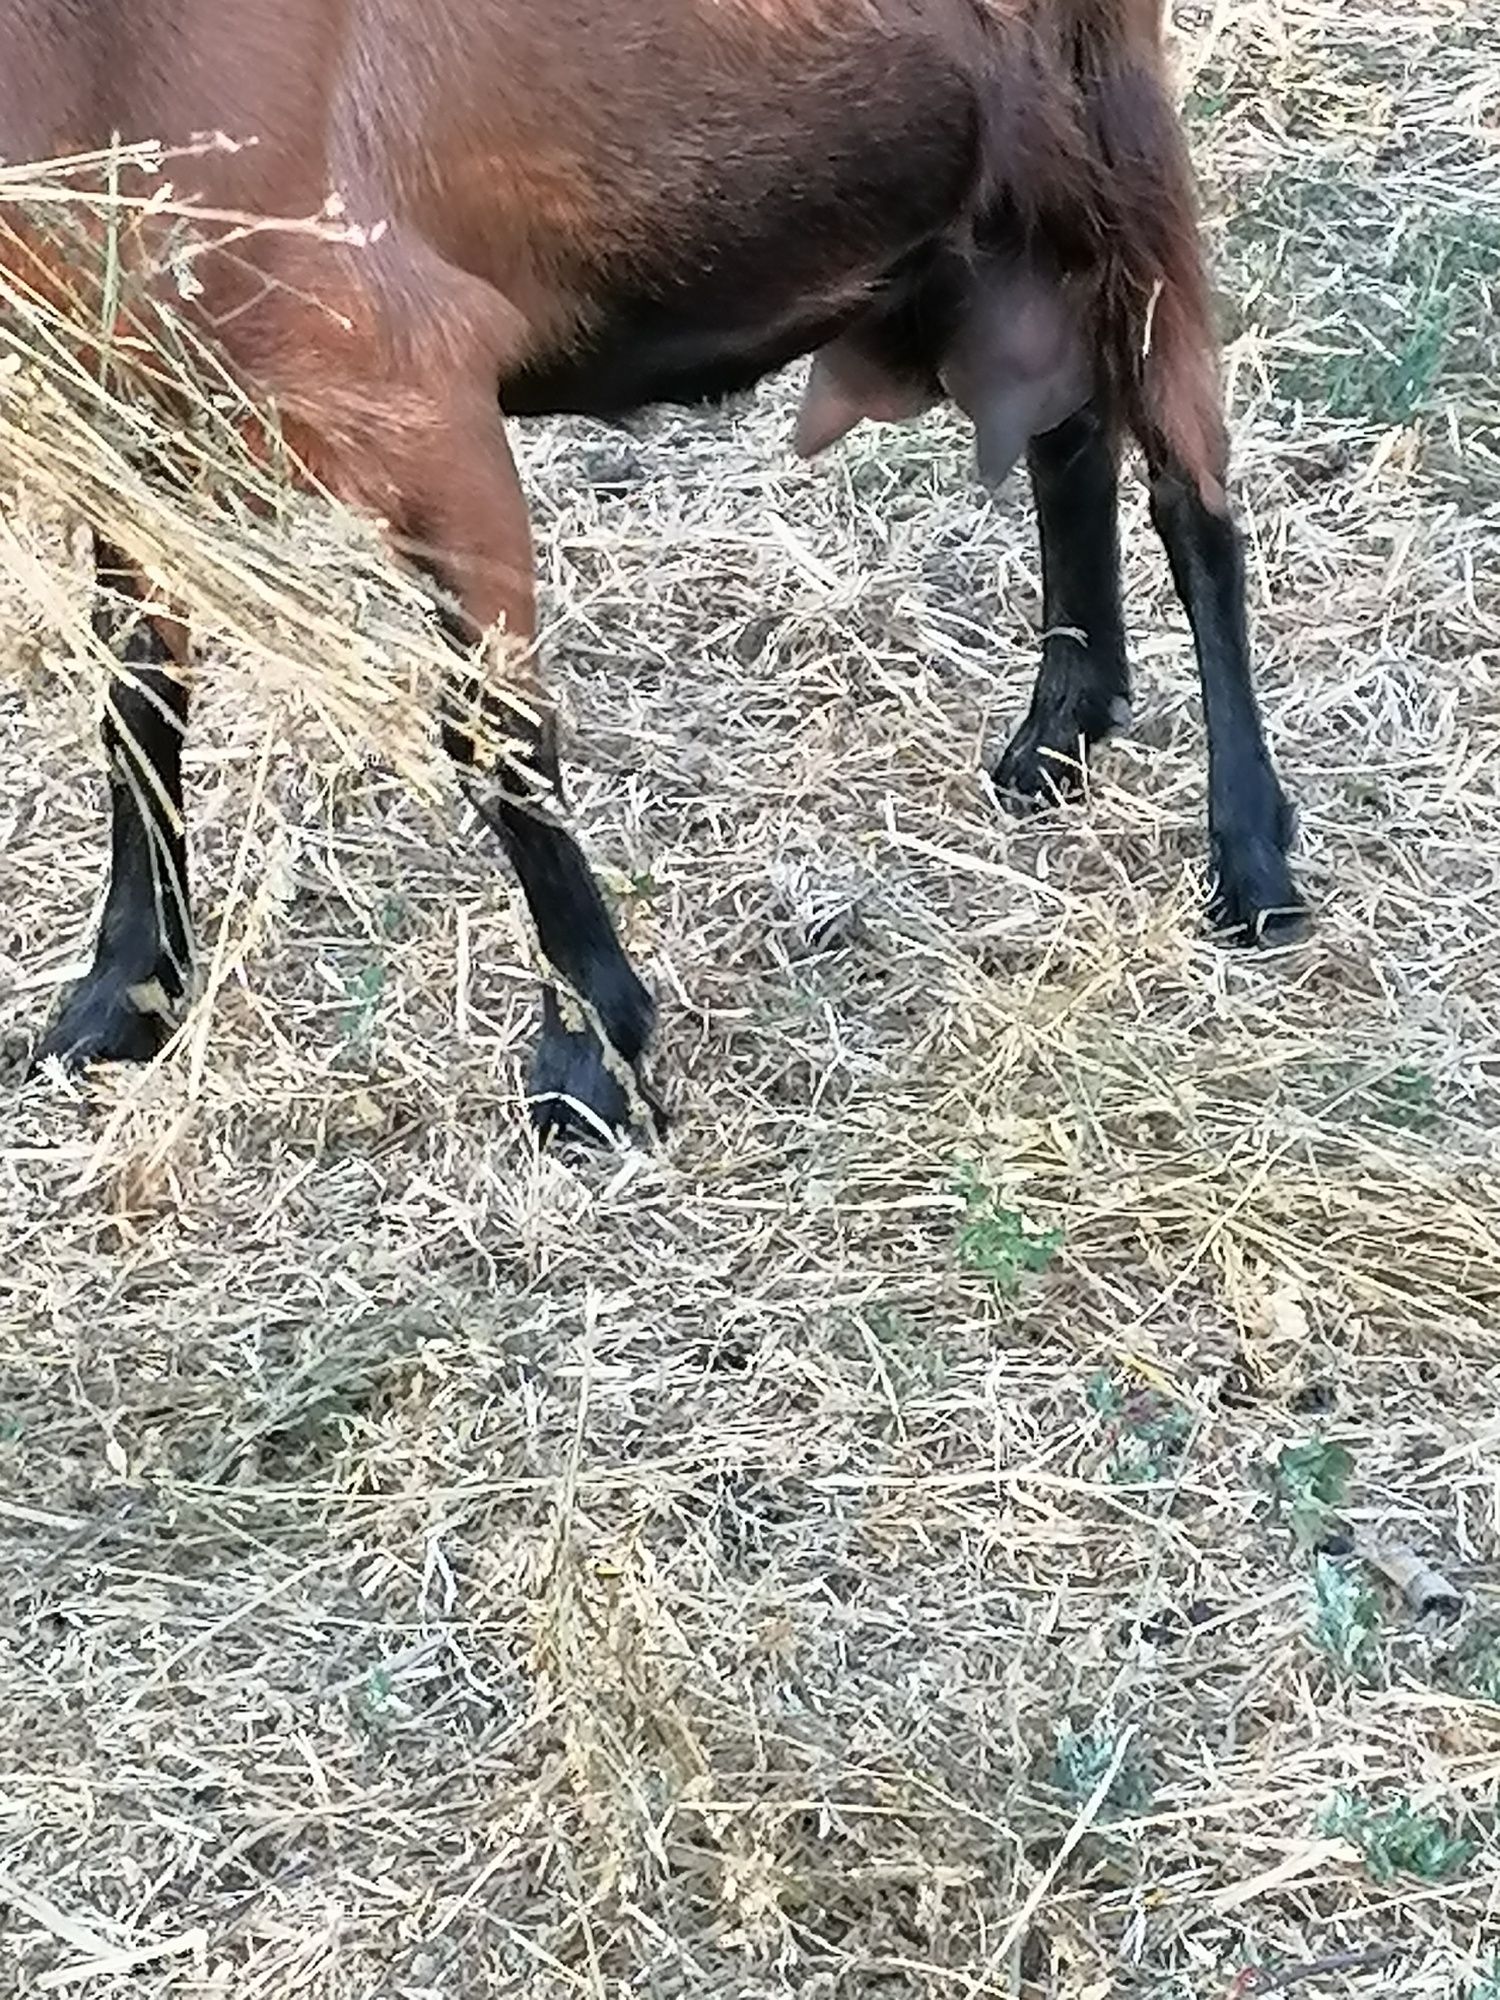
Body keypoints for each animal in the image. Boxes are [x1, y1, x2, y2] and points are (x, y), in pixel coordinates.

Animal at [0, 0, 1304, 1144]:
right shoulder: (131, 407)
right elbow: (135, 694)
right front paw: (121, 996)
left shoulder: (426, 397)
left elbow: (495, 737)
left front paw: (591, 1053)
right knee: (1065, 432)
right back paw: (1061, 730)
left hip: (1112, 143)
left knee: (1190, 496)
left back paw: (1253, 860)